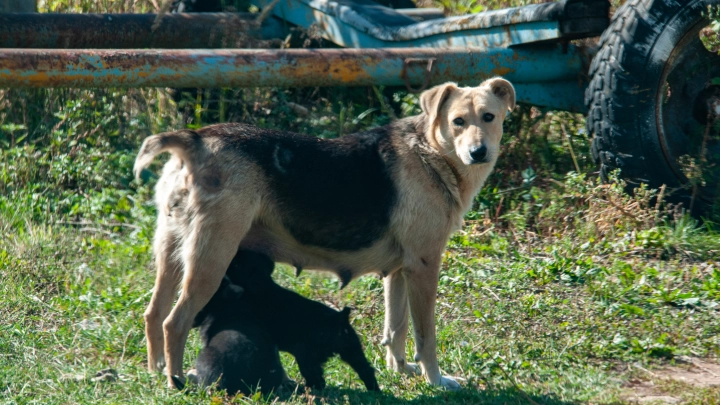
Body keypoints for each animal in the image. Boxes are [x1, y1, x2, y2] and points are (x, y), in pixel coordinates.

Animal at [228, 248, 380, 390]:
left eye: (236, 264)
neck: (265, 286)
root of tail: (339, 318)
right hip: (352, 350)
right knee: (366, 370)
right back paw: (374, 390)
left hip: (307, 357)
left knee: (317, 379)